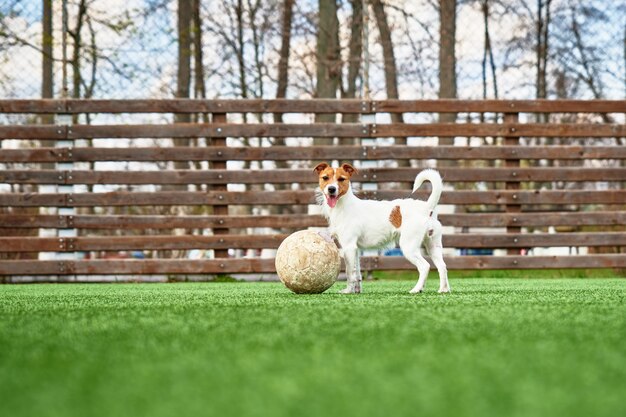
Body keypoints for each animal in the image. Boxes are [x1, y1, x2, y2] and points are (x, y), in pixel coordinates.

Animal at [312, 161, 448, 294]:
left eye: (341, 179)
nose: (331, 189)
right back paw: (443, 289)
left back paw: (417, 289)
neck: (344, 205)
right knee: (442, 266)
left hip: (409, 246)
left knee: (425, 266)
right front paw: (357, 290)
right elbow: (357, 273)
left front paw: (348, 291)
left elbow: (349, 272)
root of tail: (427, 207)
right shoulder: (355, 249)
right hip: (433, 246)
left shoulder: (348, 247)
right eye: (325, 178)